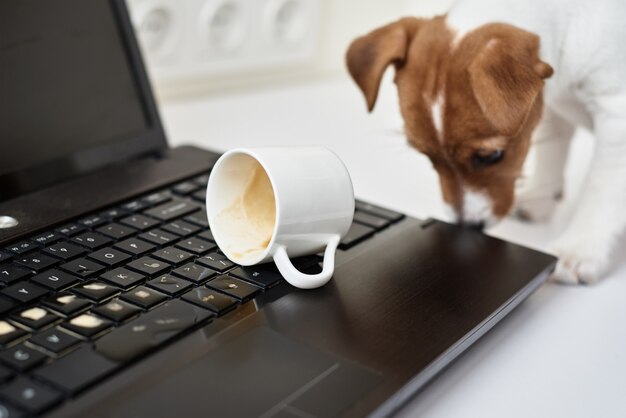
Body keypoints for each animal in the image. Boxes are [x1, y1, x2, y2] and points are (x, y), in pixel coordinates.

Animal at [344, 0, 624, 284]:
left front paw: (578, 248)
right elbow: (552, 152)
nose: (468, 227)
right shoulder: (551, 107)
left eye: (492, 156)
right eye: (428, 157)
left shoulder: (616, 116)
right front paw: (540, 199)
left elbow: (600, 189)